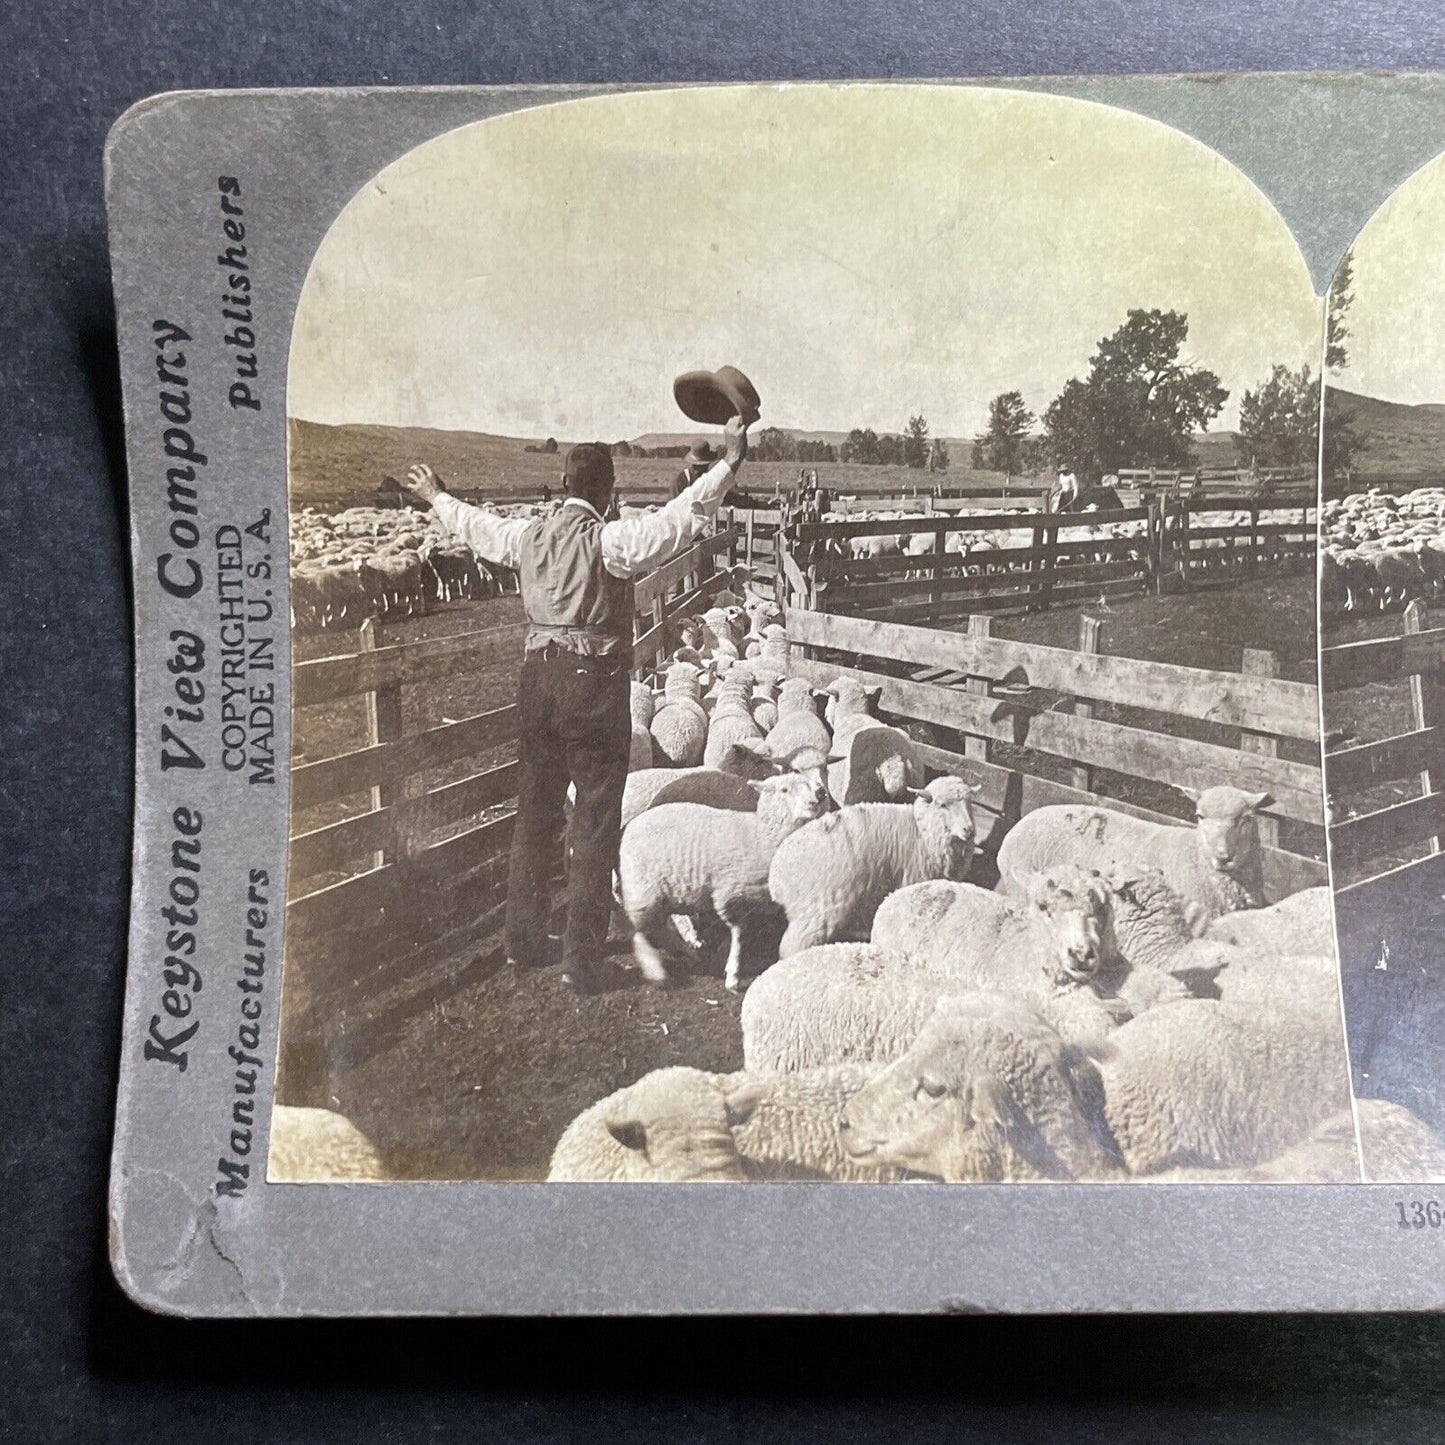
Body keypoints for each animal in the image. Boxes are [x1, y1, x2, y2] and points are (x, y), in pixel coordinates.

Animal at [615, 768, 832, 994]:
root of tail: (628, 827)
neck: (761, 833)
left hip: (662, 894)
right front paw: (733, 974)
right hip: (642, 891)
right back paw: (655, 969)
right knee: (637, 930)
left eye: (812, 786)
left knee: (657, 928)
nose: (815, 801)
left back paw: (686, 954)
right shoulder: (729, 894)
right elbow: (740, 932)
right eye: (784, 789)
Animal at [768, 780, 982, 959]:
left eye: (970, 802)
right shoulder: (914, 879)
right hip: (815, 909)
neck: (922, 832)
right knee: (792, 945)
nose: (969, 830)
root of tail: (776, 875)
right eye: (943, 805)